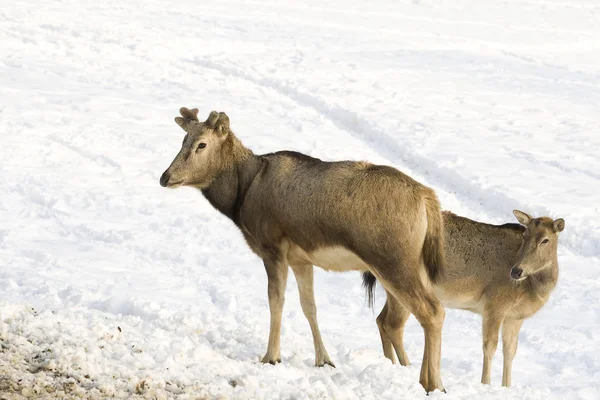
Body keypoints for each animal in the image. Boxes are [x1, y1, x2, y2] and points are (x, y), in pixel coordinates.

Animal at [159, 108, 446, 392]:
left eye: (201, 144)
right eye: (183, 140)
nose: (165, 177)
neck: (240, 198)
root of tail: (428, 199)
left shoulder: (273, 247)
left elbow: (276, 300)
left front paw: (271, 356)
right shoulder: (300, 259)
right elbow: (309, 306)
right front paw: (324, 359)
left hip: (393, 261)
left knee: (432, 311)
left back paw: (434, 383)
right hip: (408, 266)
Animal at [364, 209, 564, 388]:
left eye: (545, 240)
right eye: (525, 236)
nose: (516, 271)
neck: (532, 289)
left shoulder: (515, 317)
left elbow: (510, 351)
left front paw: (506, 387)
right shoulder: (494, 304)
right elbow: (489, 346)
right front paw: (485, 384)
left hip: (392, 289)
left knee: (381, 319)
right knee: (393, 325)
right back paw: (408, 367)